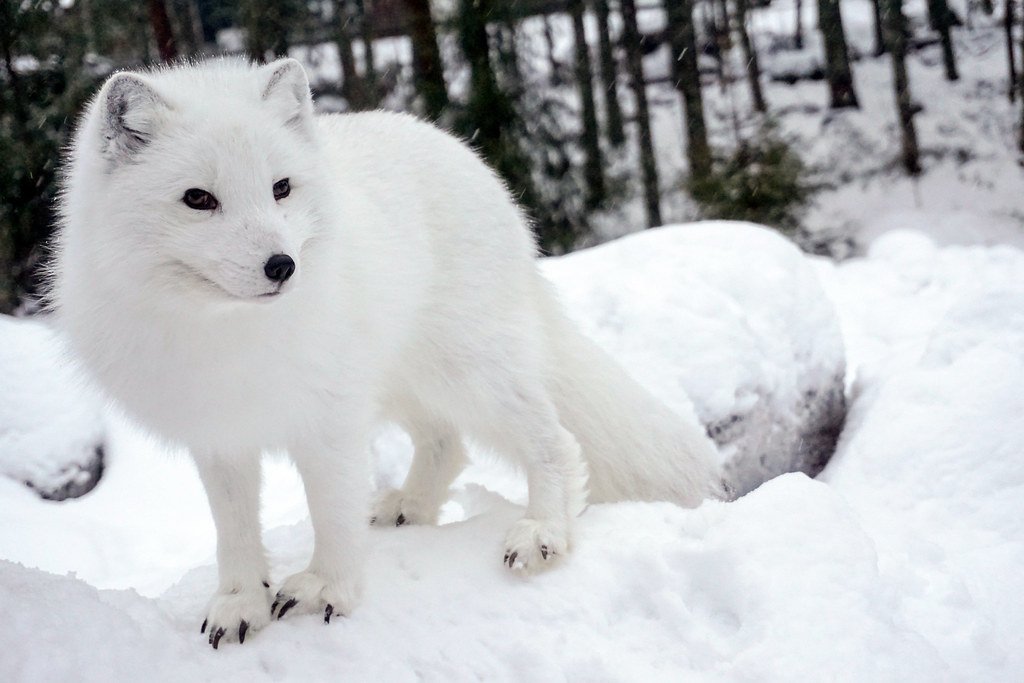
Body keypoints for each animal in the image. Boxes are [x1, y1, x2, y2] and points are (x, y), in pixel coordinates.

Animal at [52, 58, 720, 647]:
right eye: (198, 199)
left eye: (281, 189)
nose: (282, 266)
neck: (228, 332)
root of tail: (473, 162)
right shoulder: (220, 435)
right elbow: (233, 531)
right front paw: (239, 604)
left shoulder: (328, 421)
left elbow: (331, 512)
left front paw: (327, 589)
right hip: (402, 382)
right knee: (447, 443)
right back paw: (411, 507)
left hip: (468, 371)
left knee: (554, 440)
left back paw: (542, 531)